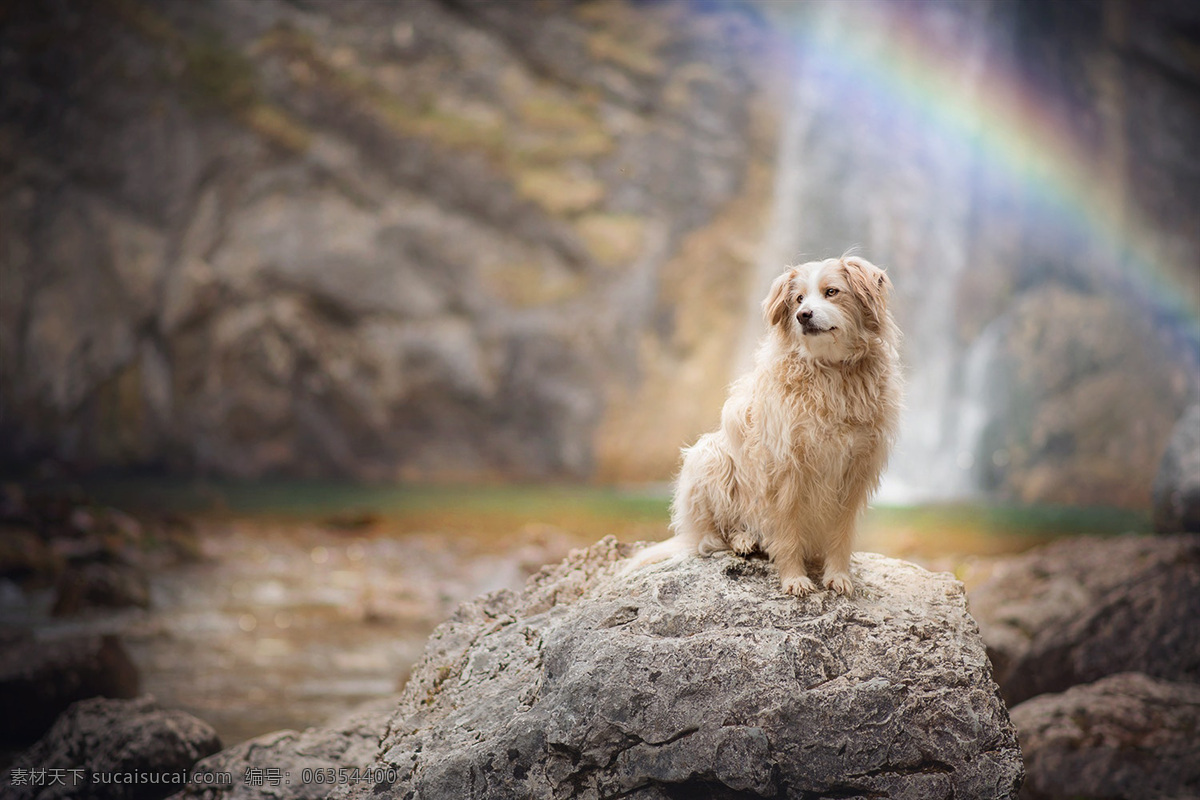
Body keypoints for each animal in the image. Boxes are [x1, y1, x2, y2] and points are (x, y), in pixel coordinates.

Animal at [628, 253, 902, 597]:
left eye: (832, 292)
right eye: (798, 299)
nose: (803, 315)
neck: (832, 372)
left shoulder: (856, 468)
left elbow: (841, 532)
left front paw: (838, 575)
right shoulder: (784, 467)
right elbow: (786, 531)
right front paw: (794, 578)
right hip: (709, 456)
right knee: (710, 536)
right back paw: (743, 538)